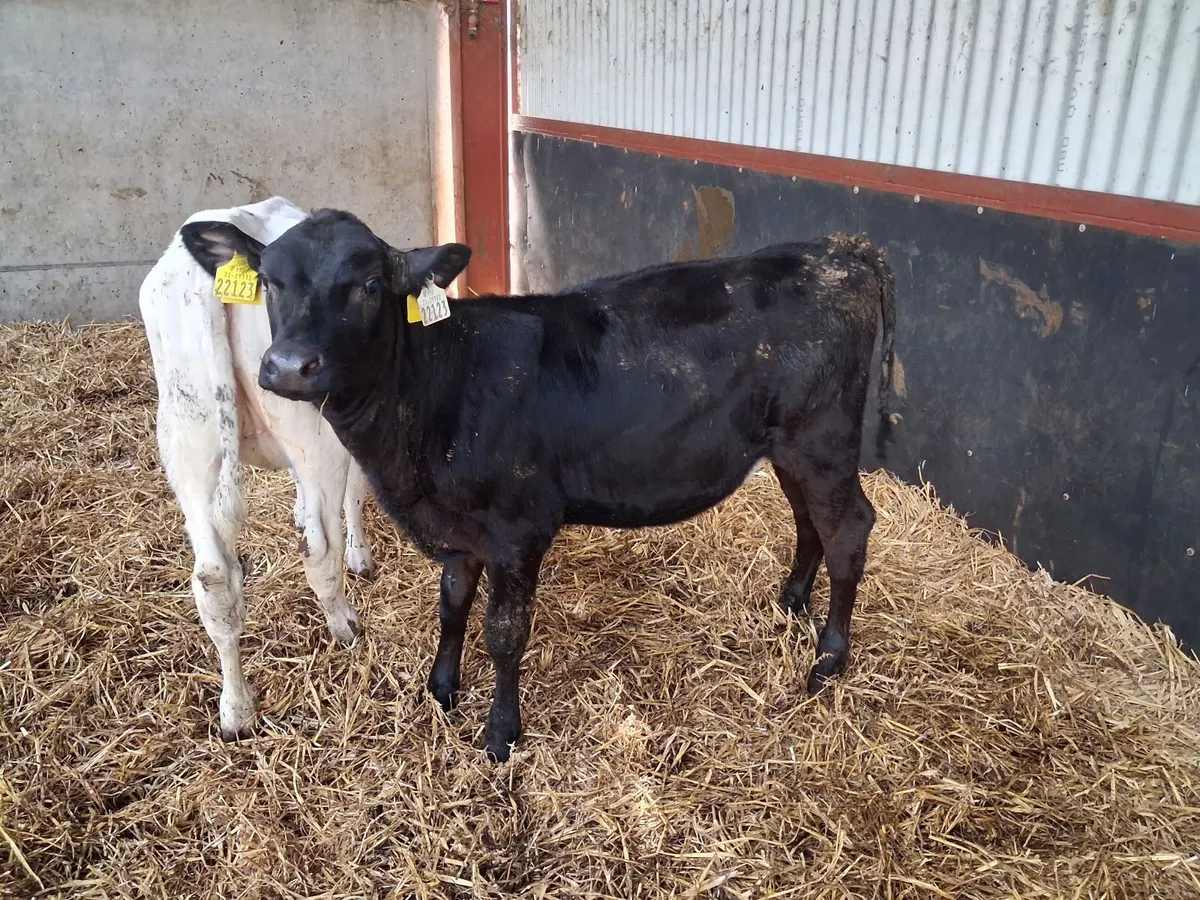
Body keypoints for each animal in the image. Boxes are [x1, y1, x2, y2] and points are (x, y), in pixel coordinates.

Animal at [140, 198, 376, 741]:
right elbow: (352, 496)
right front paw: (360, 556)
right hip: (311, 436)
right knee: (317, 550)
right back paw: (344, 625)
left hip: (186, 433)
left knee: (211, 578)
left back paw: (236, 711)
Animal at [177, 208, 896, 762]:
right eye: (270, 282)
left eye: (369, 285)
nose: (288, 366)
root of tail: (839, 250)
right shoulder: (459, 529)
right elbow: (451, 604)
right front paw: (442, 689)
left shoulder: (518, 530)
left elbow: (504, 632)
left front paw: (500, 732)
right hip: (789, 446)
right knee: (809, 521)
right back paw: (791, 601)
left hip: (823, 439)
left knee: (849, 528)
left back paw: (829, 657)